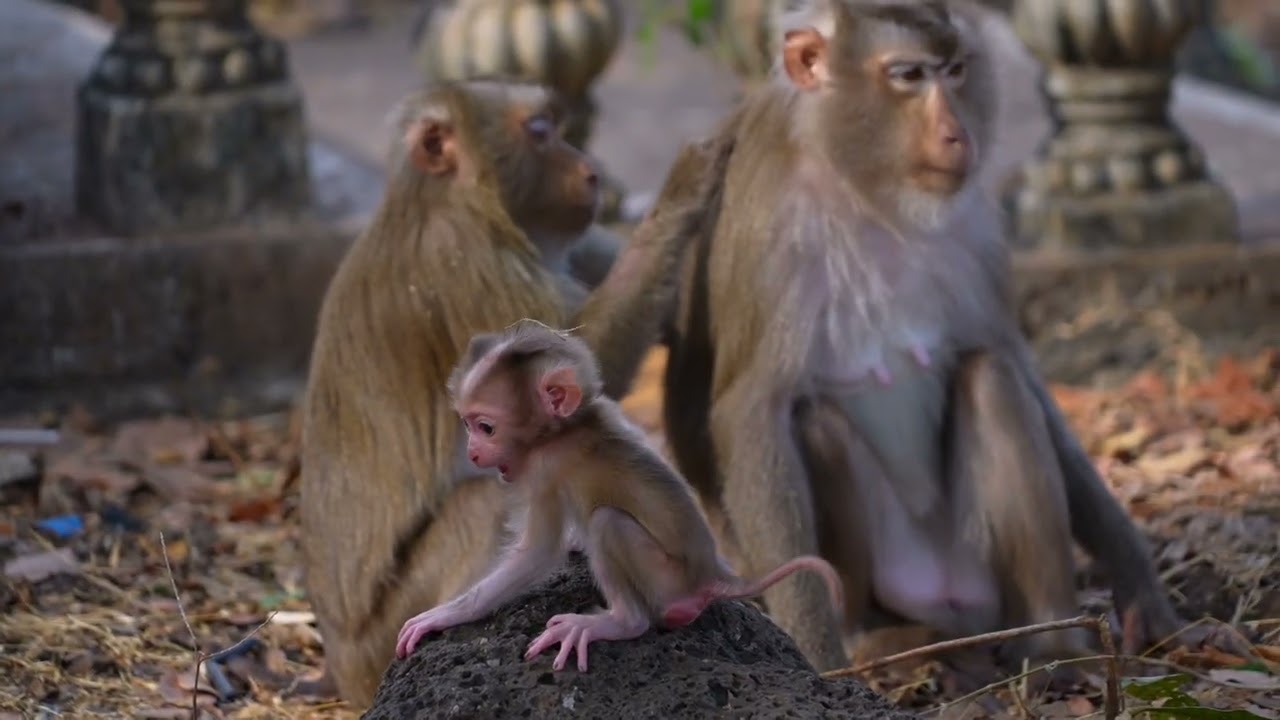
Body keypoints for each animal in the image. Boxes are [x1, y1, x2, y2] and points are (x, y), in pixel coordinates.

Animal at [297, 78, 735, 707]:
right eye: (540, 131)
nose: (591, 172)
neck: (438, 198)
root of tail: (341, 668)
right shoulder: (468, 262)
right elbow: (577, 361)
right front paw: (687, 182)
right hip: (381, 638)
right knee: (485, 504)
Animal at [394, 320, 845, 671]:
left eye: (485, 427)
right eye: (467, 425)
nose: (473, 451)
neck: (566, 428)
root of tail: (712, 574)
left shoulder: (544, 469)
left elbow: (537, 553)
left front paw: (446, 614)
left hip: (666, 579)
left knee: (607, 523)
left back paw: (618, 623)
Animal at [657, 0, 1203, 677]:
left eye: (956, 69)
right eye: (909, 75)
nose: (956, 135)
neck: (864, 188)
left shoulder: (977, 225)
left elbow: (1017, 367)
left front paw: (1138, 581)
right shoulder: (770, 229)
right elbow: (754, 411)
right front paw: (818, 656)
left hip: (975, 572)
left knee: (991, 378)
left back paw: (1052, 645)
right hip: (895, 576)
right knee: (817, 423)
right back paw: (868, 637)